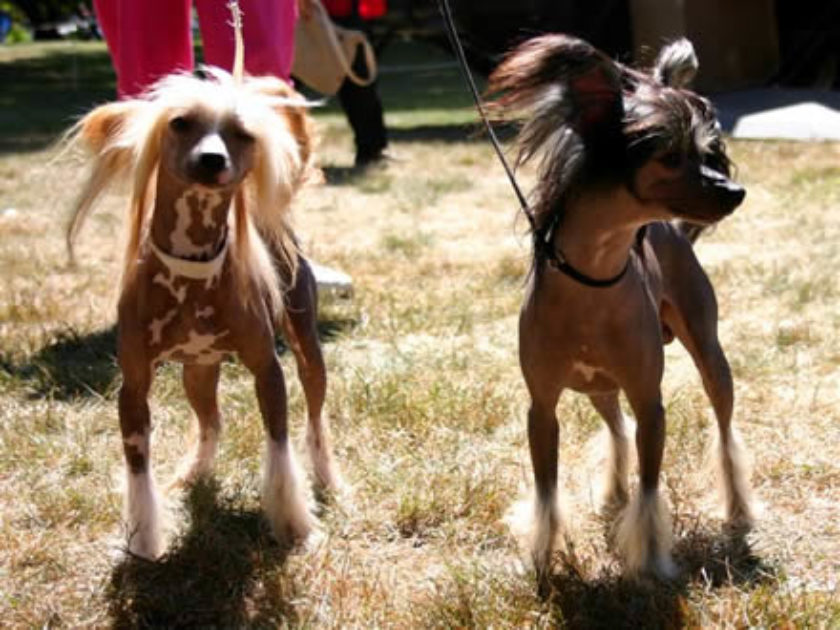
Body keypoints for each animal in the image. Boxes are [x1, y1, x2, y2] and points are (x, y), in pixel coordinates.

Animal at [486, 33, 756, 576]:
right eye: (670, 155)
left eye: (707, 151)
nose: (735, 191)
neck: (593, 280)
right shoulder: (541, 409)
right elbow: (546, 491)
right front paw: (543, 555)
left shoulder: (651, 402)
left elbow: (650, 491)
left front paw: (650, 561)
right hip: (598, 387)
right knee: (616, 427)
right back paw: (613, 493)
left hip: (710, 357)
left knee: (724, 431)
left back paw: (737, 509)